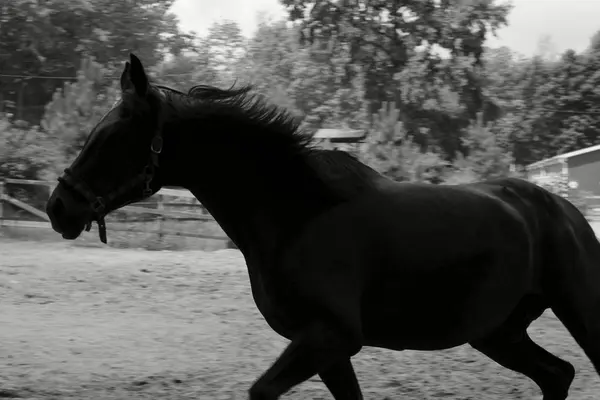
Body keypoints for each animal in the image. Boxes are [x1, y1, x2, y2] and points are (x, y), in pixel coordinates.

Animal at [47, 54, 600, 400]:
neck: (298, 214)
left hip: (577, 312)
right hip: (496, 332)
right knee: (558, 374)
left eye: (114, 137)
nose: (59, 208)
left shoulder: (330, 337)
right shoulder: (327, 349)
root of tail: (564, 210)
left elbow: (262, 390)